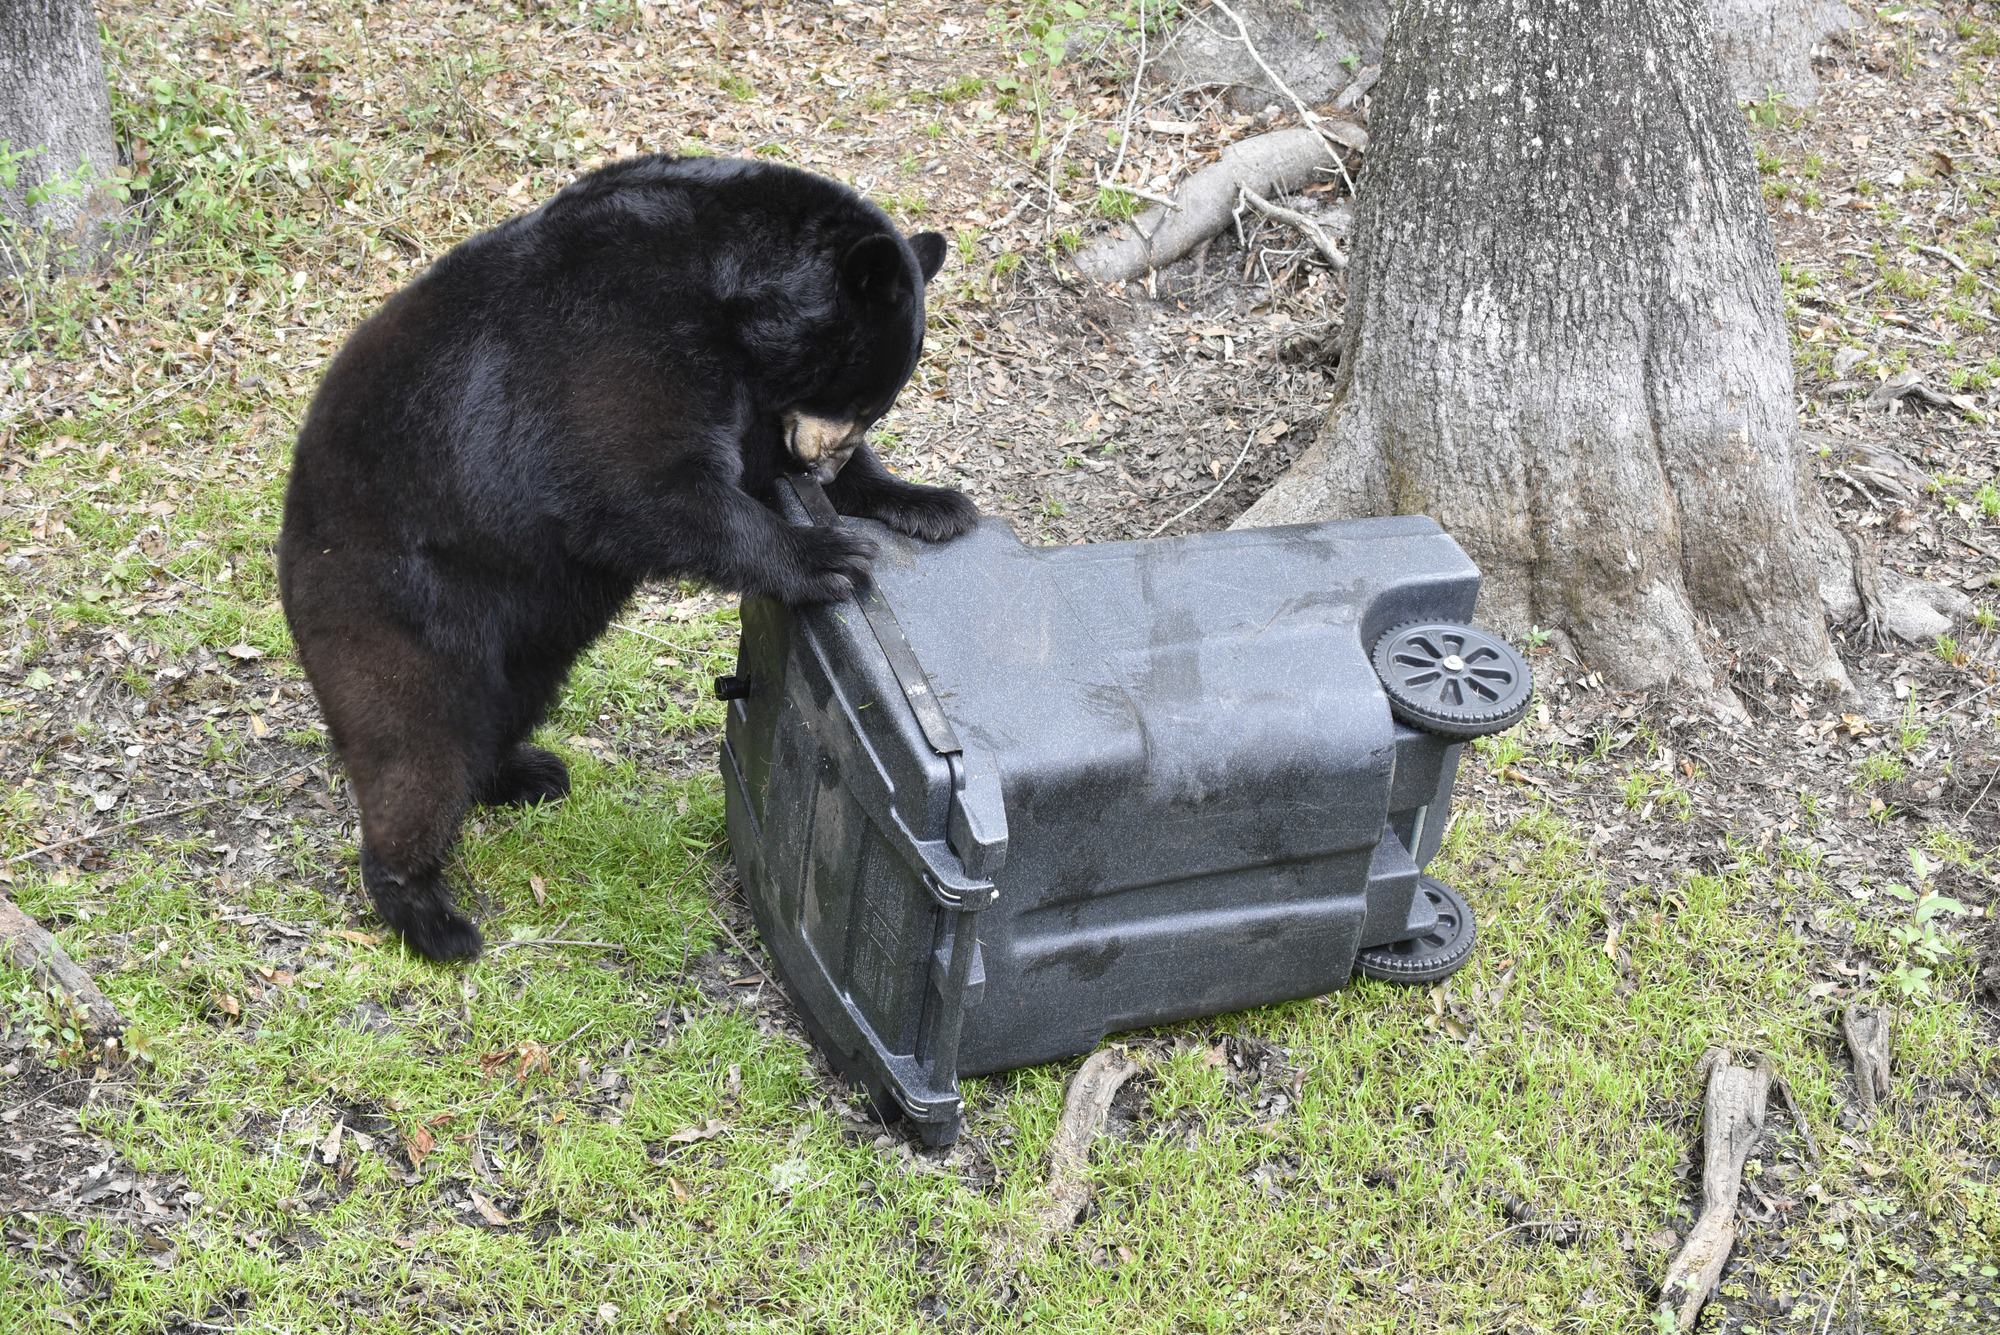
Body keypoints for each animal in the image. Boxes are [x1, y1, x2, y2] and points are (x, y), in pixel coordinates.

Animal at [278, 158, 980, 959]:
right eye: (860, 396)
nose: (821, 470)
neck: (729, 293)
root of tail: (290, 552)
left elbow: (754, 460)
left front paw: (930, 501)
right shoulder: (616, 339)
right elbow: (642, 484)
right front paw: (826, 554)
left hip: (521, 633)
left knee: (504, 704)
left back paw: (523, 773)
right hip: (397, 603)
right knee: (415, 746)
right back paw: (430, 915)